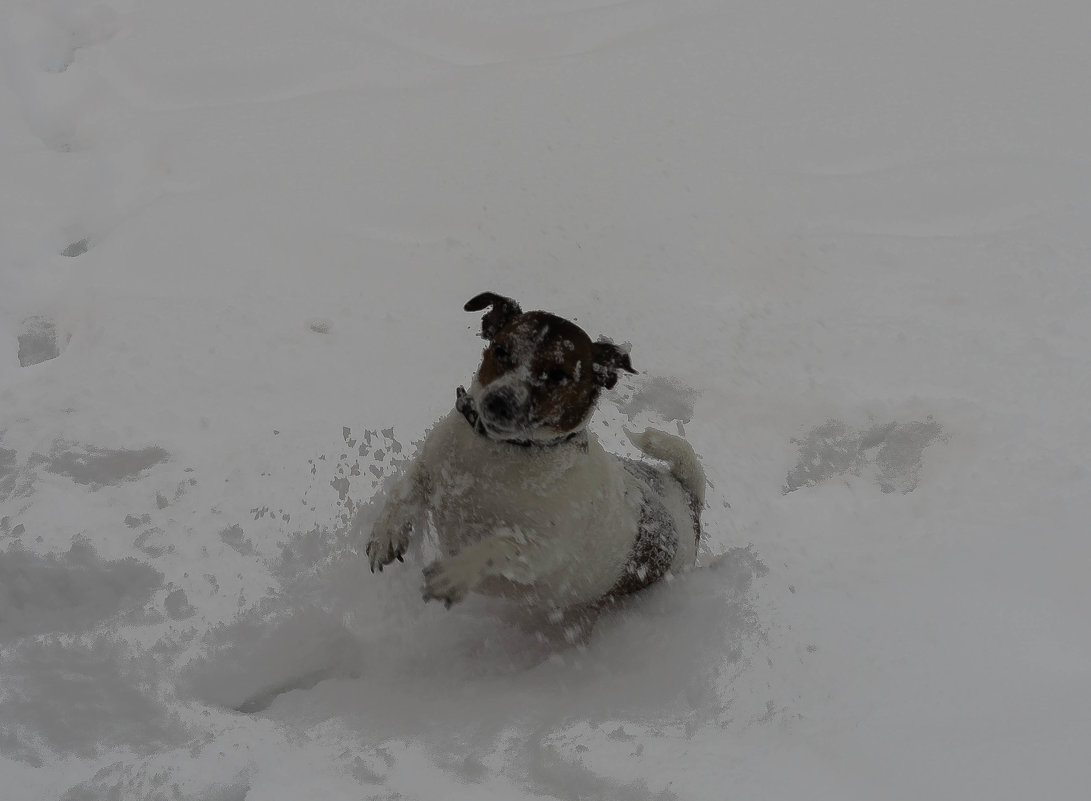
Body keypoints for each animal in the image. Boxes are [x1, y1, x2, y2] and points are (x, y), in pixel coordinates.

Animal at [366, 292, 706, 611]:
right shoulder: (430, 464)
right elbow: (404, 489)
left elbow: (500, 544)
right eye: (501, 350)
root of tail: (685, 494)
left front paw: (455, 574)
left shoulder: (544, 551)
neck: (499, 452)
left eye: (558, 374)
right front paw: (387, 534)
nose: (499, 402)